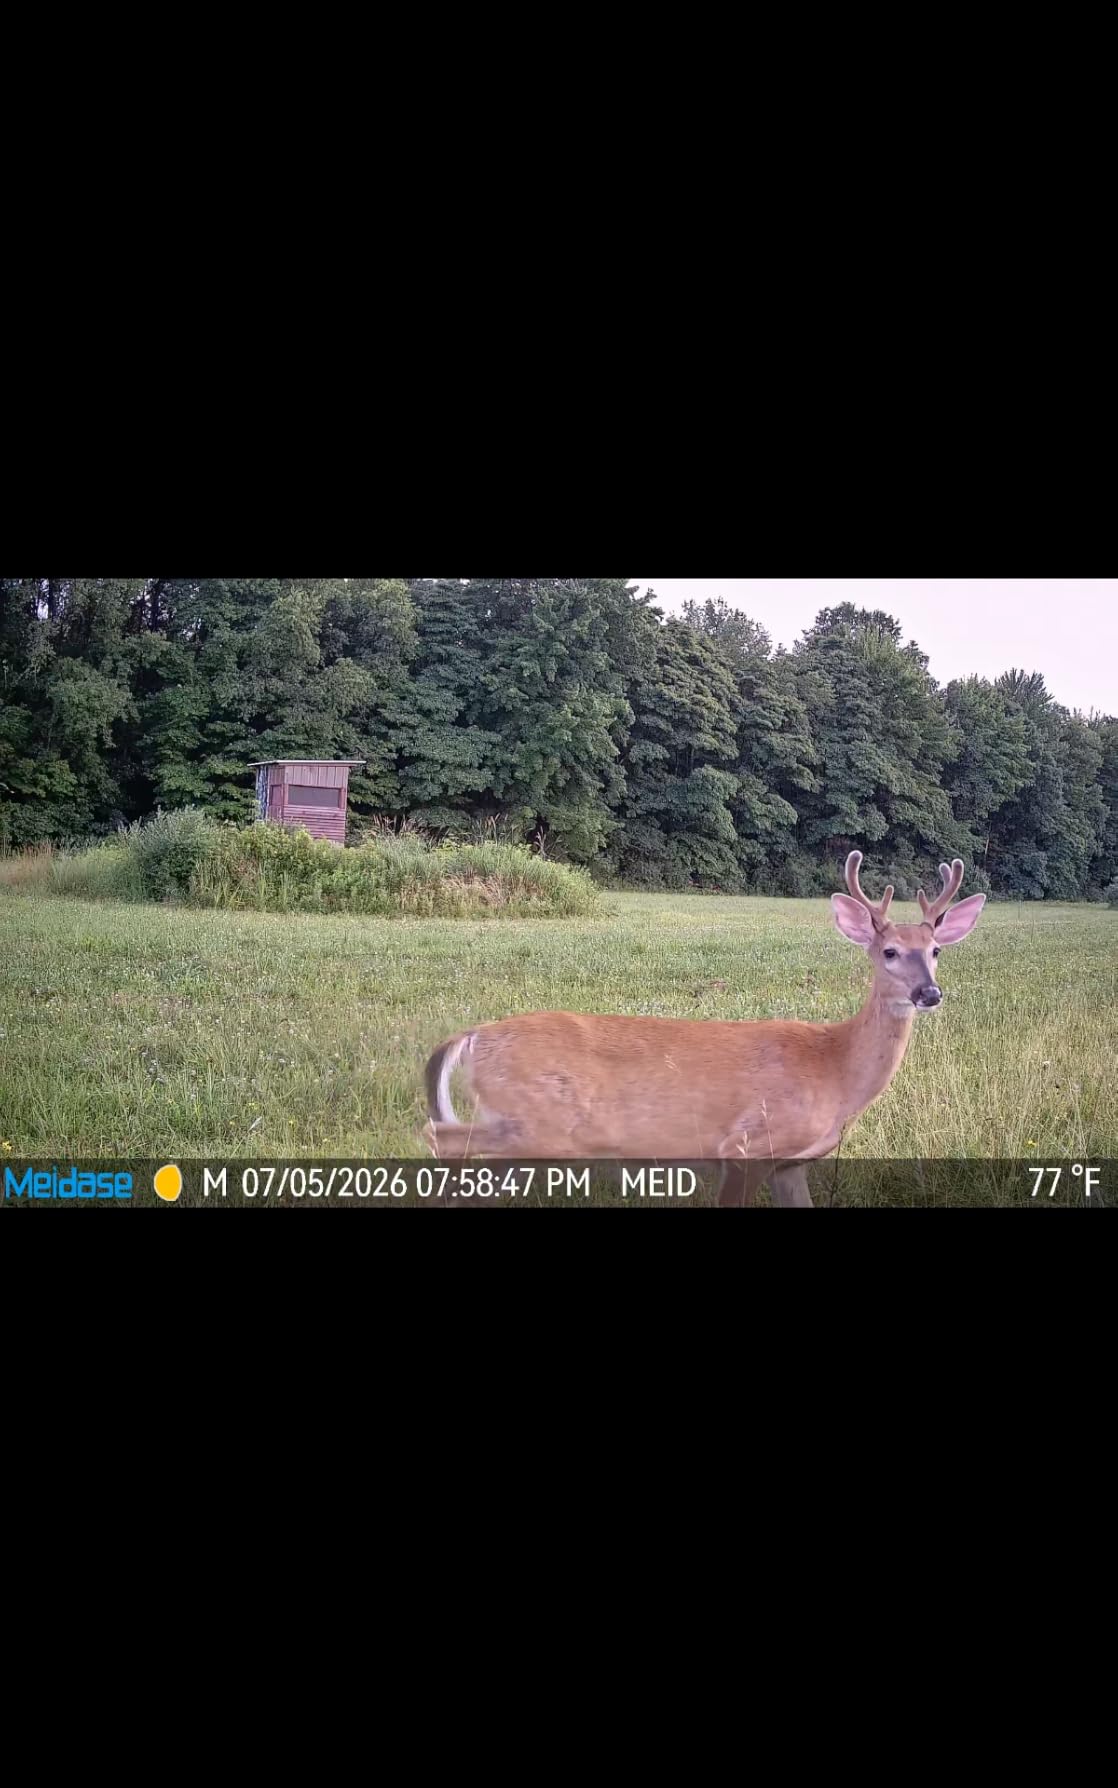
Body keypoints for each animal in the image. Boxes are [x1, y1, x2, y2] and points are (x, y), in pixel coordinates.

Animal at [422, 853, 986, 1206]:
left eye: (936, 950)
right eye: (889, 952)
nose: (928, 993)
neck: (835, 1067)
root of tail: (472, 1035)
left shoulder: (792, 1163)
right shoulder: (746, 1145)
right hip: (538, 1123)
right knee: (440, 1140)